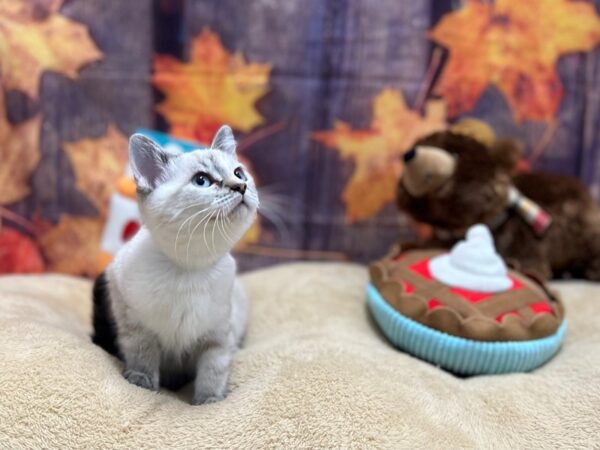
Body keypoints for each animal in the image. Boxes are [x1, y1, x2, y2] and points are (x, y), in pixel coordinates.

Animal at [91, 125, 258, 404]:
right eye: (201, 180)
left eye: (238, 173)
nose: (241, 186)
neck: (189, 270)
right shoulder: (134, 320)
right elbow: (143, 354)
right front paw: (141, 382)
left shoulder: (218, 336)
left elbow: (213, 370)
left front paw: (209, 401)